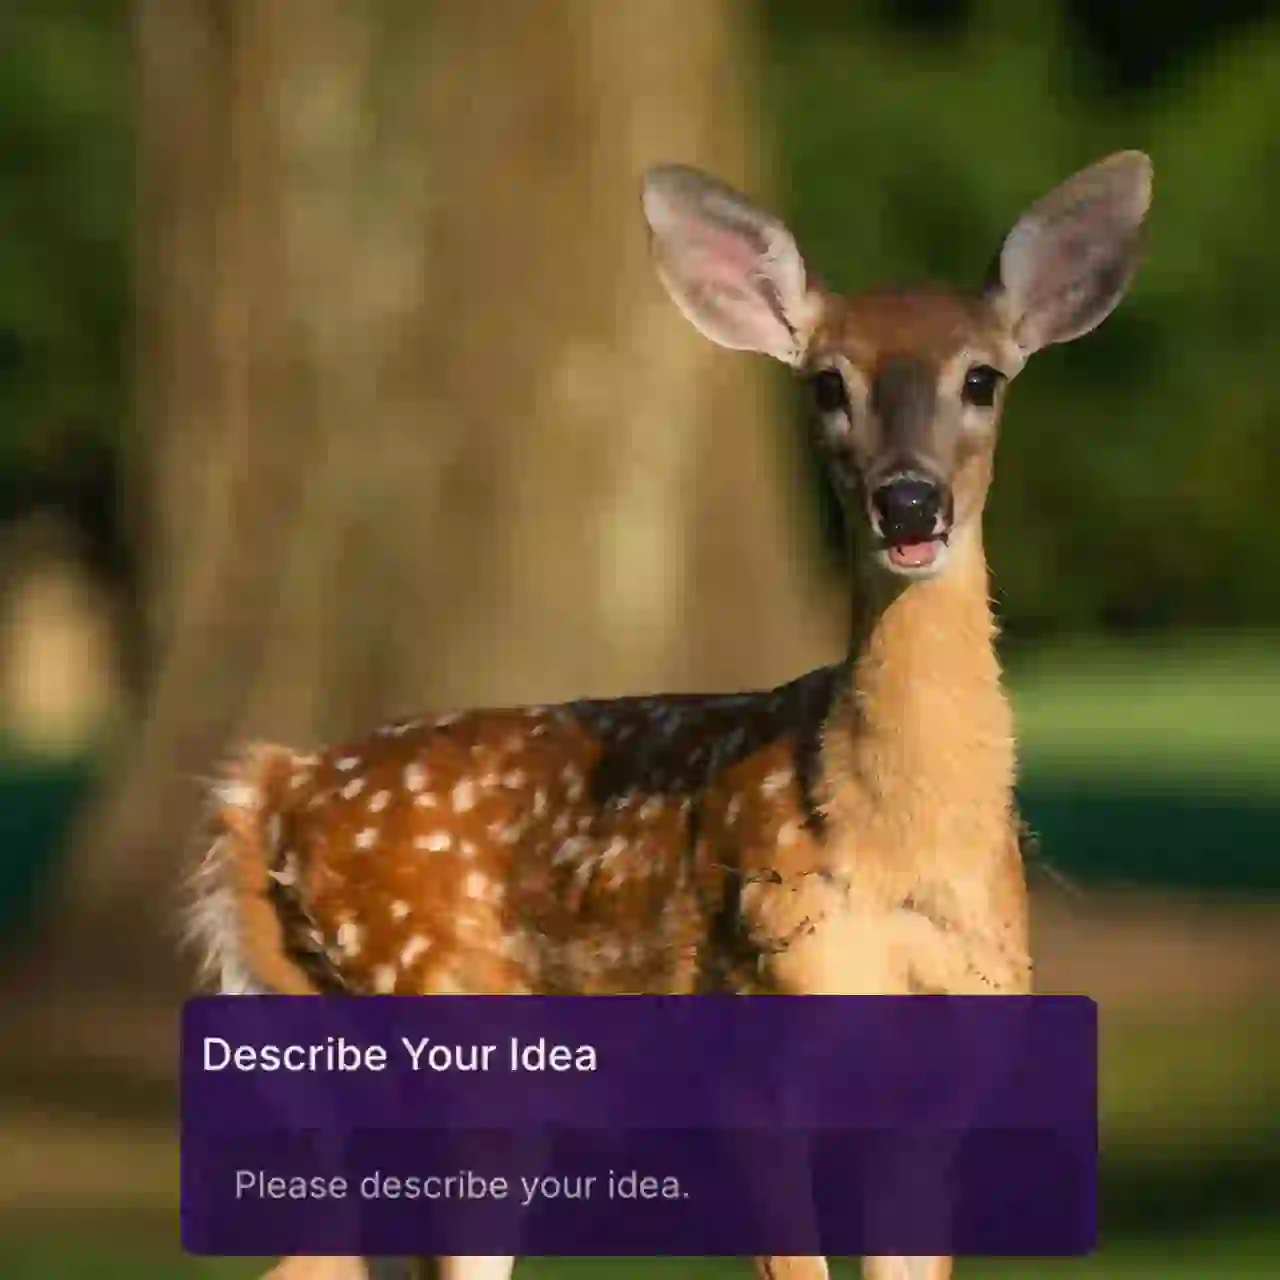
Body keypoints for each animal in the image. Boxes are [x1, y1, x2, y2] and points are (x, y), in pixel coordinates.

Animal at [187, 150, 1153, 1280]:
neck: (891, 842)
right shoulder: (754, 1042)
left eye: (982, 378)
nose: (909, 503)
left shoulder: (946, 1081)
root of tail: (266, 791)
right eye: (827, 382)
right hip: (438, 1019)